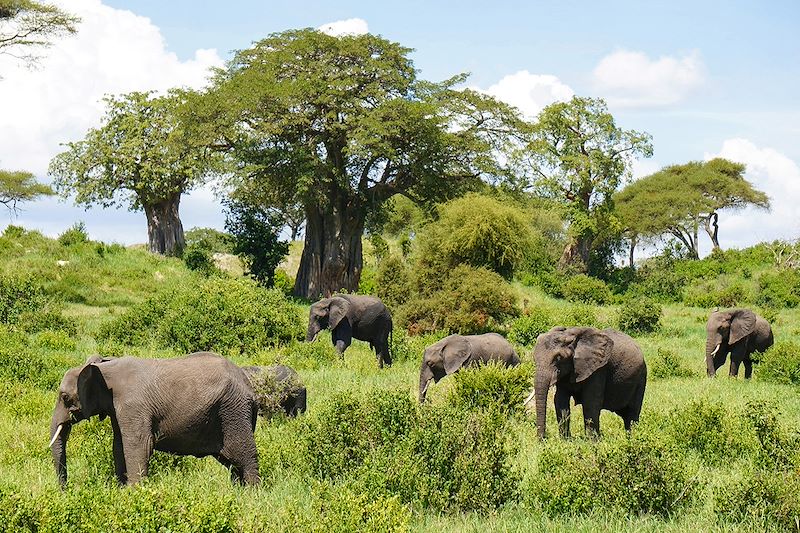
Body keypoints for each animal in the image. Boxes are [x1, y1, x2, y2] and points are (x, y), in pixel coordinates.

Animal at [48, 354, 260, 486]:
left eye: (65, 397)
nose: (65, 490)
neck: (105, 369)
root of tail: (246, 381)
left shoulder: (133, 406)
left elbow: (138, 446)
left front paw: (134, 493)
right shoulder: (117, 409)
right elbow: (119, 446)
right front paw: (120, 491)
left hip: (234, 410)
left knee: (245, 456)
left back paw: (251, 495)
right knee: (232, 463)